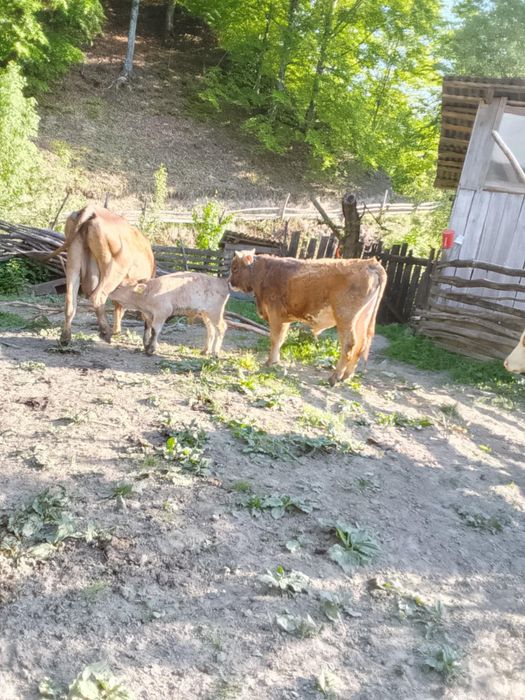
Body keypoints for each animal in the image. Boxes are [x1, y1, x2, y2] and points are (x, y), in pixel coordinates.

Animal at [49, 205, 155, 345]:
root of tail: (92, 209)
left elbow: (118, 305)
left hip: (74, 260)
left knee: (70, 302)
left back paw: (65, 338)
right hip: (113, 269)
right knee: (97, 298)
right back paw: (106, 332)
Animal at [228, 250, 387, 385]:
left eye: (234, 268)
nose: (229, 282)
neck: (264, 272)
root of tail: (369, 263)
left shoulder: (275, 314)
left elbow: (275, 338)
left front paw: (269, 362)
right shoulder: (283, 318)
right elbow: (281, 338)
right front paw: (275, 362)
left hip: (346, 317)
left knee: (349, 344)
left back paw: (334, 377)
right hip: (361, 319)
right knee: (361, 344)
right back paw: (346, 376)